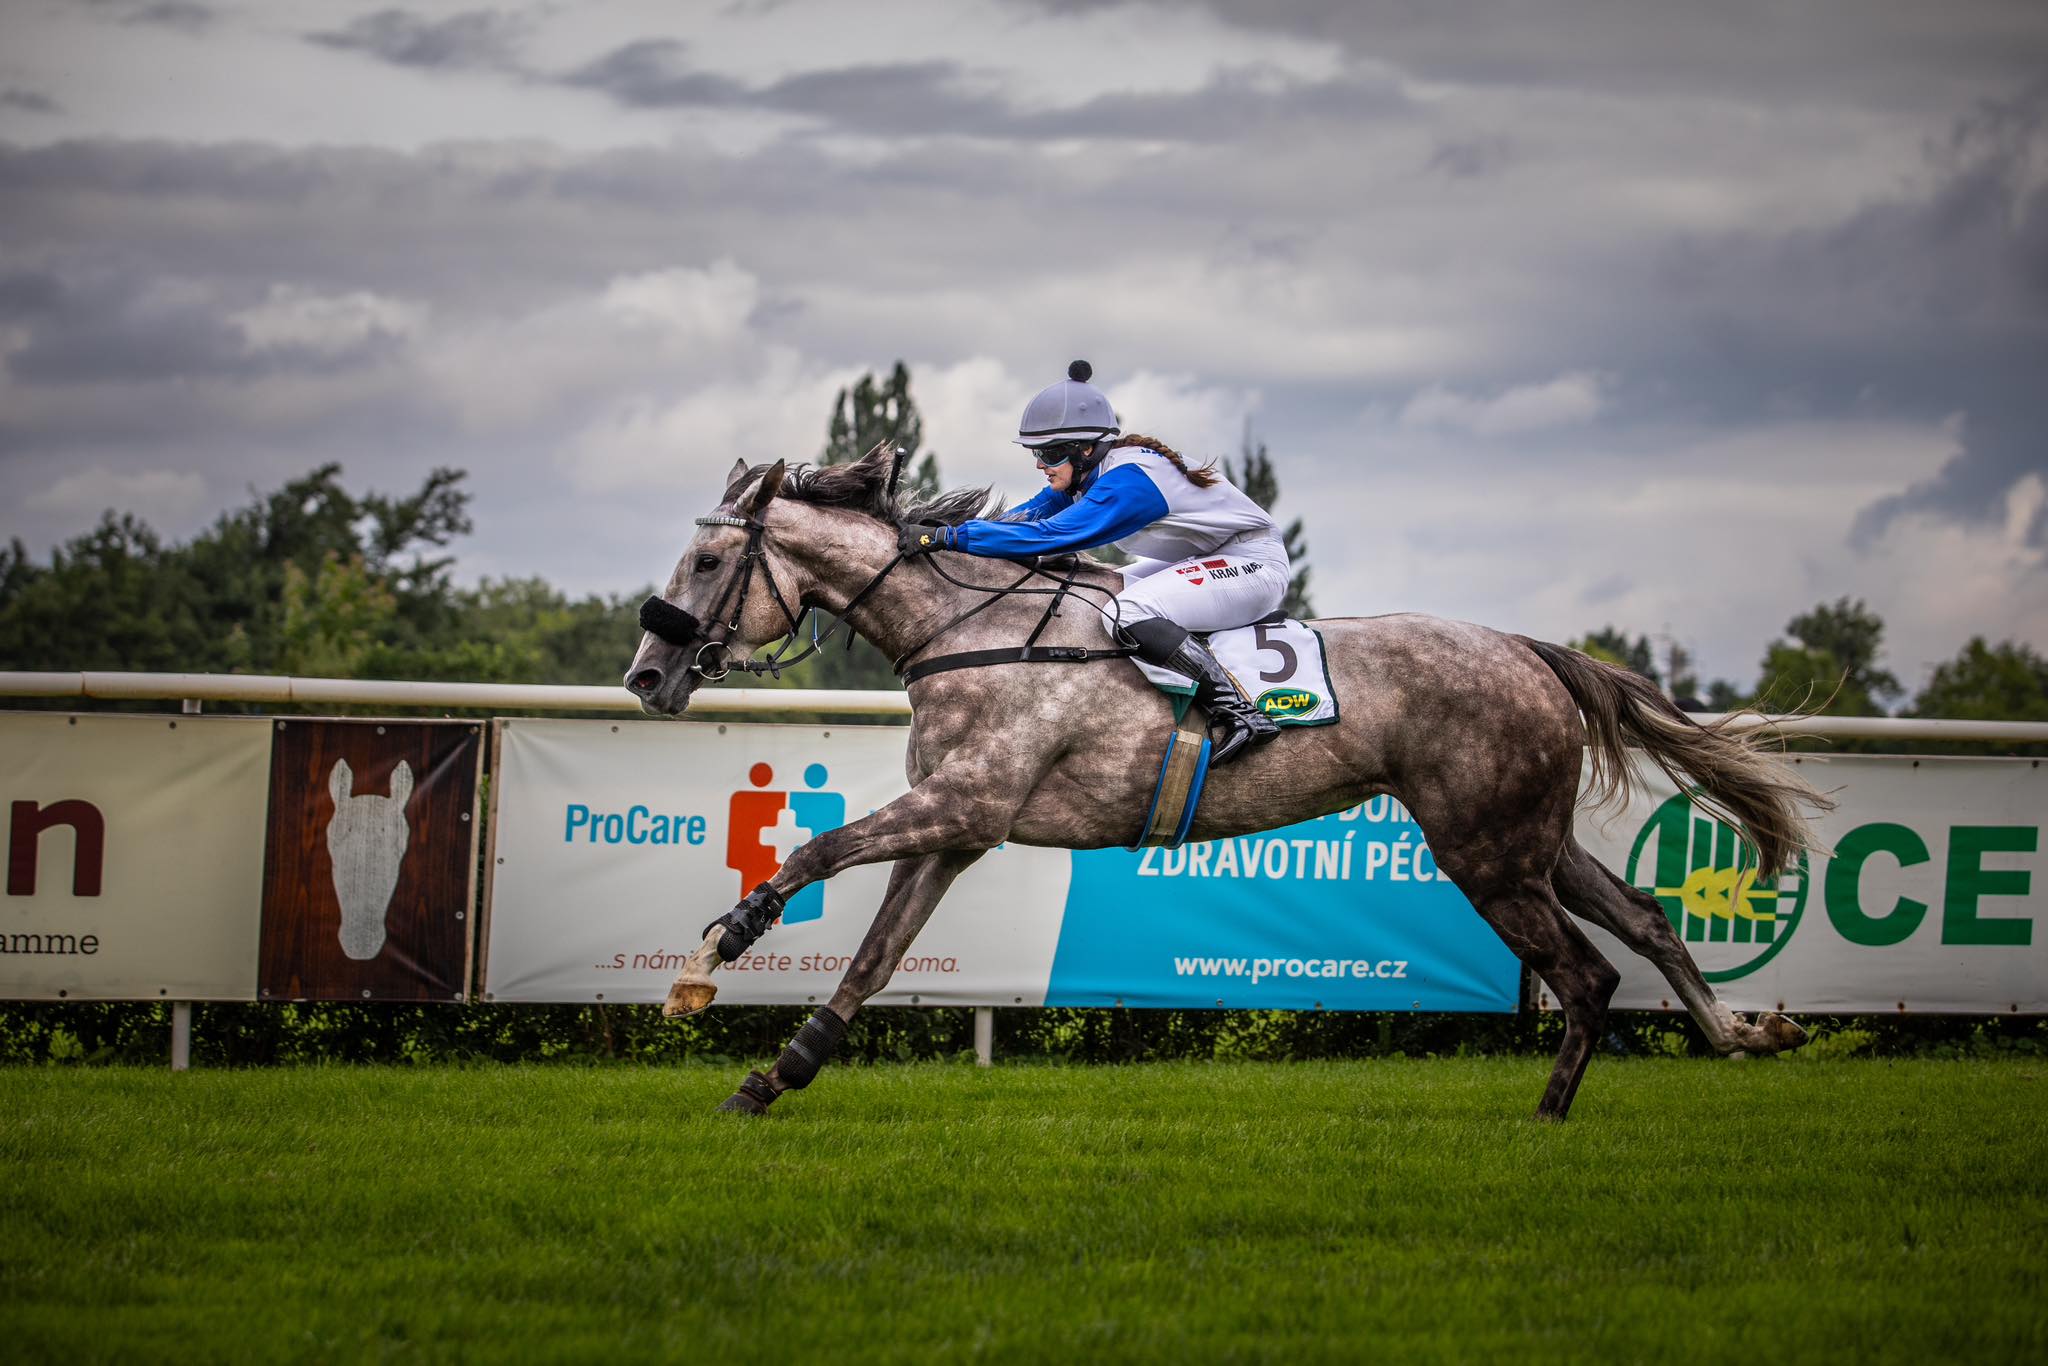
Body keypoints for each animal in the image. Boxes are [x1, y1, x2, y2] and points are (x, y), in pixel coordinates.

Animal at [622, 448, 1826, 1122]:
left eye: (709, 563)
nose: (645, 676)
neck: (970, 633)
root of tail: (1526, 650)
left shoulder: (963, 805)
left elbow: (816, 850)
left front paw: (705, 963)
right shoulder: (955, 830)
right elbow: (872, 961)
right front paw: (768, 1080)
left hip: (1485, 852)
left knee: (1586, 974)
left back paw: (1545, 1117)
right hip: (1527, 838)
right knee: (1645, 919)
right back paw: (1740, 1035)